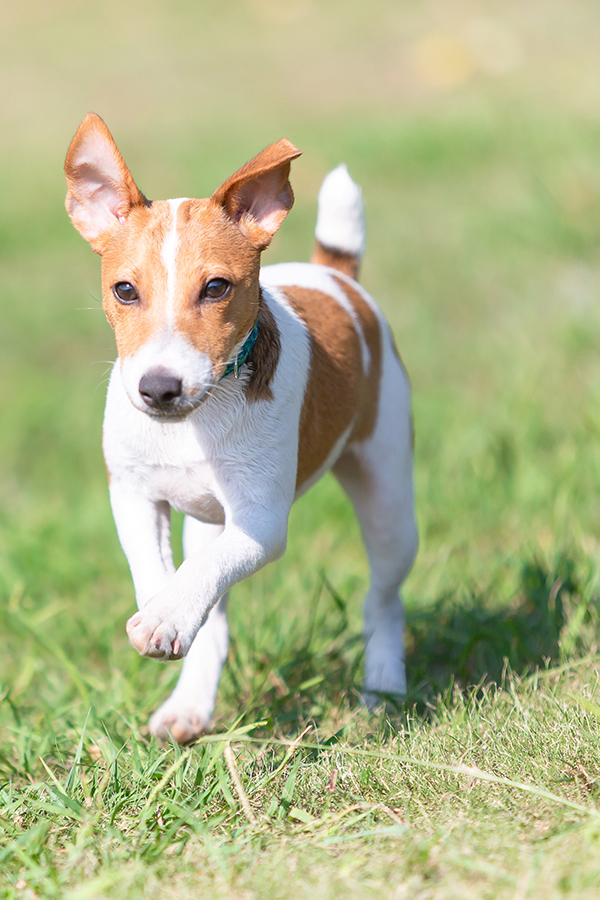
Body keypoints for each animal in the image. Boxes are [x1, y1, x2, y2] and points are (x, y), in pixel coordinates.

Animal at [63, 114, 414, 744]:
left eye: (216, 288)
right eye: (125, 290)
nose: (158, 388)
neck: (195, 419)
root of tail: (334, 274)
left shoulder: (259, 521)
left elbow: (206, 570)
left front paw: (168, 615)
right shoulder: (131, 492)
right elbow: (157, 567)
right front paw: (165, 610)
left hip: (391, 501)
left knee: (384, 599)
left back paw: (382, 685)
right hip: (210, 520)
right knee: (215, 607)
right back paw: (189, 705)